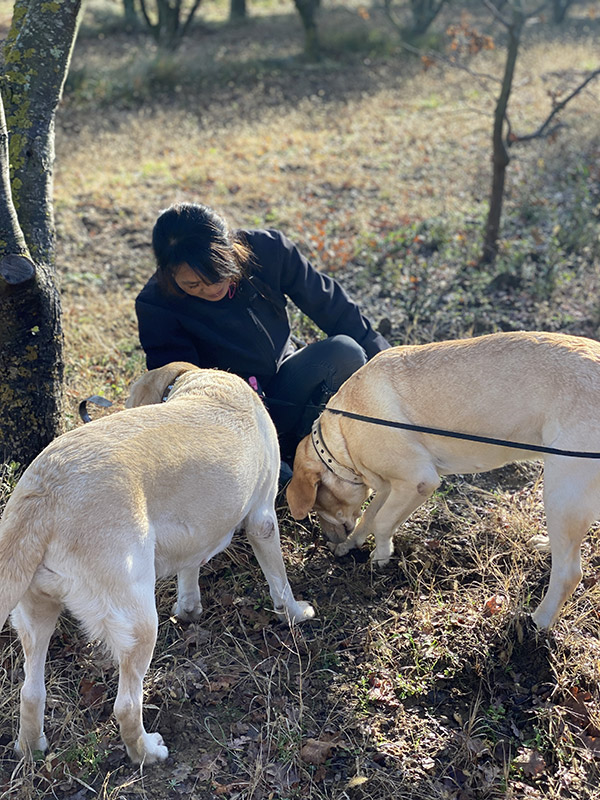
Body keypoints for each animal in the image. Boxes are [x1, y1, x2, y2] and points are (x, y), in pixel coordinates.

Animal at [1, 362, 314, 764]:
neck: (200, 382)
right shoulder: (263, 520)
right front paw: (295, 613)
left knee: (30, 692)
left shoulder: (193, 534)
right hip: (138, 623)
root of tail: (44, 492)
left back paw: (31, 747)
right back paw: (147, 753)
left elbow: (189, 570)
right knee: (126, 705)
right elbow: (280, 581)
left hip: (35, 612)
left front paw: (189, 610)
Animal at [288, 328, 600, 628]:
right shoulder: (391, 485)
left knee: (569, 572)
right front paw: (352, 543)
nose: (326, 540)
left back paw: (538, 622)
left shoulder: (418, 479)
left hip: (561, 491)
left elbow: (383, 521)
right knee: (566, 550)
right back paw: (546, 545)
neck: (341, 439)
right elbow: (370, 515)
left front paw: (381, 556)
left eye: (319, 505)